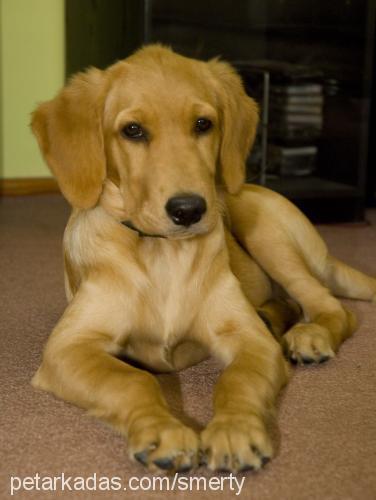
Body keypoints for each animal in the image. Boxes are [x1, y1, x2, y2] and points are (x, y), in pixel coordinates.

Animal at [31, 45, 376, 474]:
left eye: (202, 124)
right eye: (133, 131)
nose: (188, 209)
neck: (162, 253)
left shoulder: (251, 342)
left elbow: (236, 380)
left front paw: (234, 430)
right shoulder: (68, 347)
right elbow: (130, 379)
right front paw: (162, 430)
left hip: (264, 229)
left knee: (329, 304)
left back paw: (311, 335)